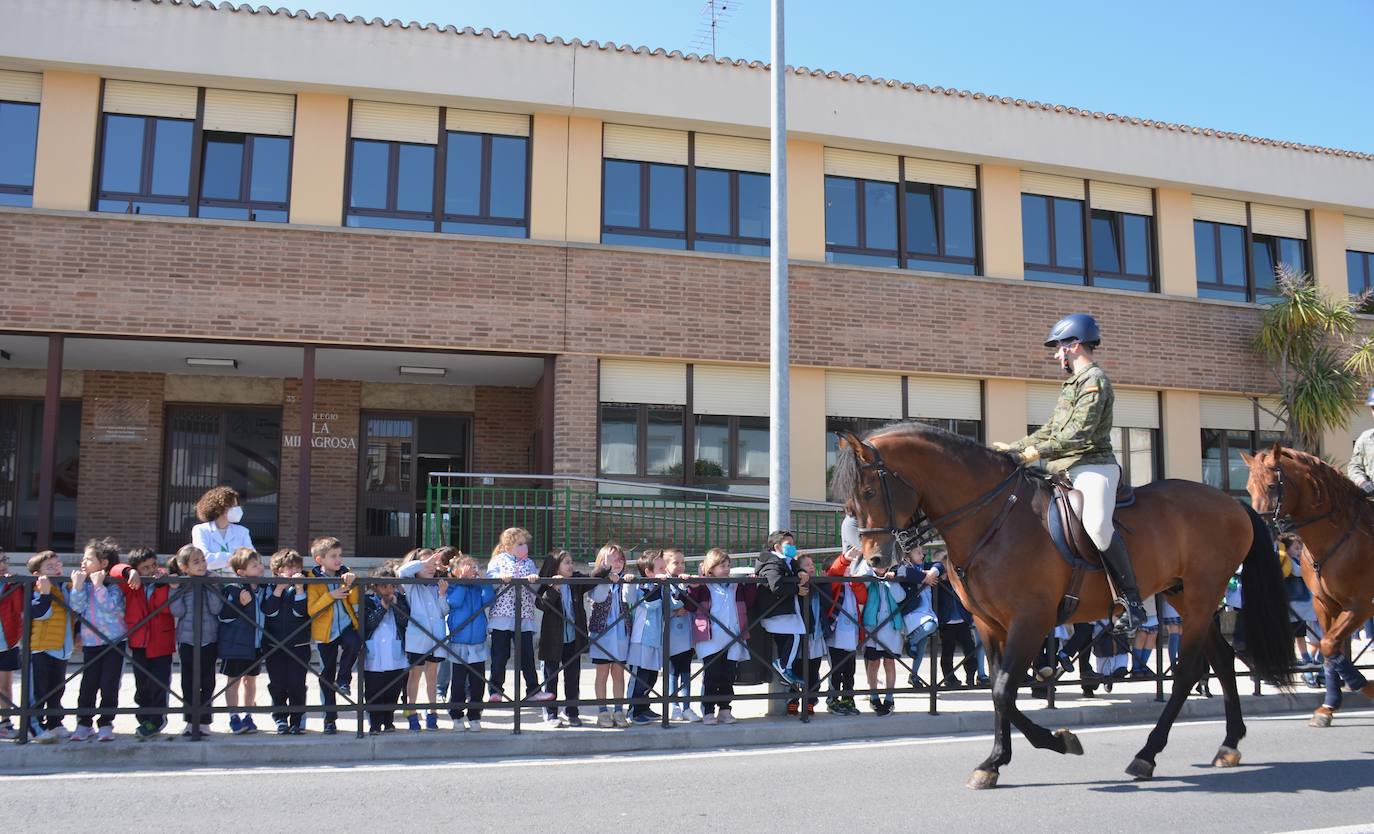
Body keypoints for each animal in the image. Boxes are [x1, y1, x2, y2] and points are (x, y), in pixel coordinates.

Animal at [829, 423, 1291, 791]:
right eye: (851, 500)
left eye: (868, 491)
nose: (875, 560)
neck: (992, 518)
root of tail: (1232, 503)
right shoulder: (988, 624)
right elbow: (1001, 693)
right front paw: (996, 762)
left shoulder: (1029, 621)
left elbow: (1003, 690)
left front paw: (1053, 742)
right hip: (1188, 598)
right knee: (1224, 660)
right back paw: (1228, 745)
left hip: (1197, 597)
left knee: (1190, 672)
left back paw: (1147, 755)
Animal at [1247, 445, 1374, 725]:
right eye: (1248, 488)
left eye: (1271, 486)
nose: (1258, 530)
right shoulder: (1324, 604)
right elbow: (1328, 648)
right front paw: (1328, 707)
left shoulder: (1360, 605)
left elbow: (1327, 645)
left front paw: (1363, 685)